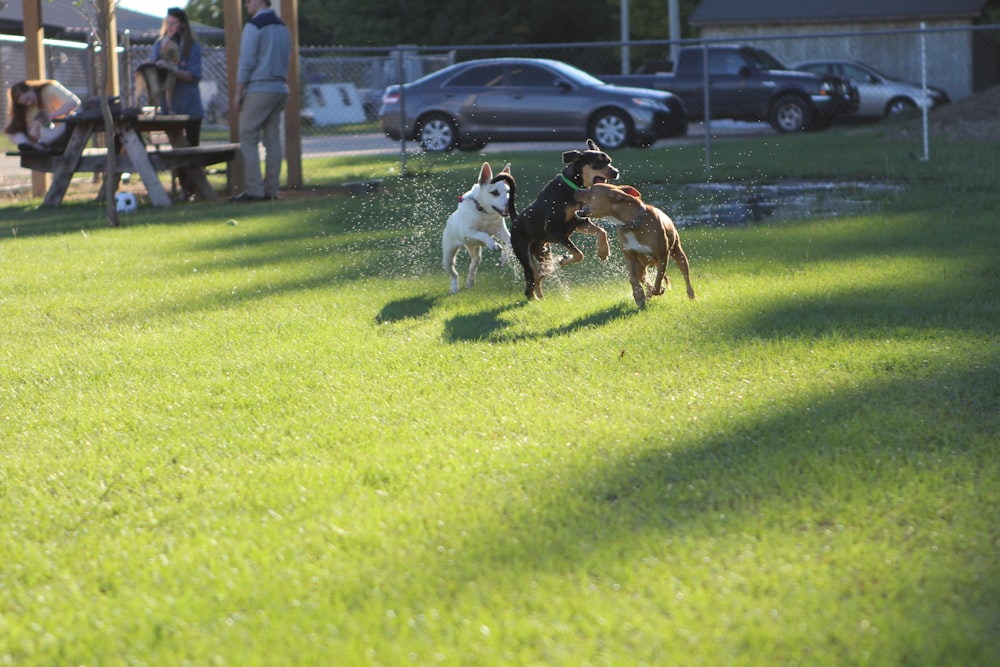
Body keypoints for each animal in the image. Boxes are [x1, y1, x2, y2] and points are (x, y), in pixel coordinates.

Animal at [444, 161, 516, 292]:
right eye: (495, 192)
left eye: (509, 192)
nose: (510, 205)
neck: (485, 213)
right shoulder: (466, 231)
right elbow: (483, 233)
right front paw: (494, 244)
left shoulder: (500, 230)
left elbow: (509, 242)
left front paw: (503, 259)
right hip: (448, 254)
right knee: (453, 273)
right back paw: (455, 288)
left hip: (475, 250)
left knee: (474, 264)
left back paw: (470, 282)